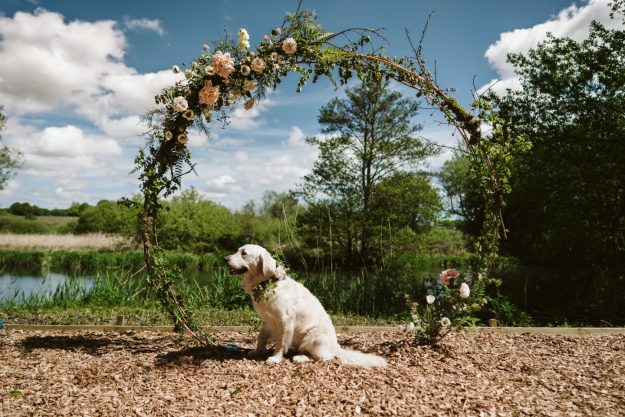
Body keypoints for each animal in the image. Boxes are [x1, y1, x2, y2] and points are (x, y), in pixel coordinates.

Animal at [222, 244, 388, 368]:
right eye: (237, 250)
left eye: (244, 253)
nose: (224, 259)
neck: (267, 283)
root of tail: (336, 346)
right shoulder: (267, 320)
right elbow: (261, 338)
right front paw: (257, 352)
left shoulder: (285, 320)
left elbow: (281, 342)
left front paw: (275, 358)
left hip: (312, 336)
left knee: (325, 357)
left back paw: (301, 357)